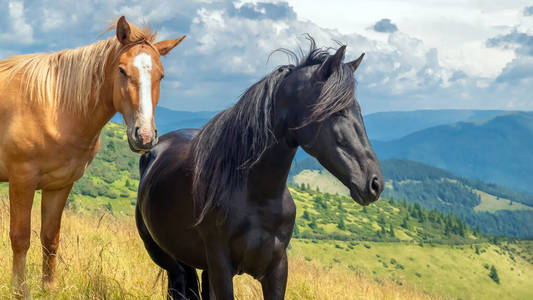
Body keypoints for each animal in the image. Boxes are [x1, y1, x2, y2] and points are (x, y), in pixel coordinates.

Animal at [0, 16, 185, 298]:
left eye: (161, 76)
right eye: (122, 70)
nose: (144, 136)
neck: (53, 107)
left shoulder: (60, 185)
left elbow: (50, 237)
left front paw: (49, 287)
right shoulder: (22, 180)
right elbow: (20, 237)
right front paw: (20, 291)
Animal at [136, 39, 382, 300]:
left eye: (358, 111)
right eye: (336, 111)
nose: (374, 183)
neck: (257, 196)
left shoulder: (276, 269)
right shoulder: (221, 266)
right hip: (167, 257)